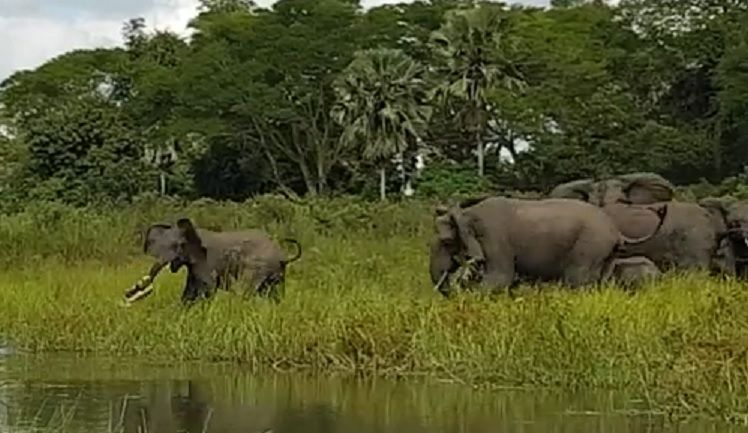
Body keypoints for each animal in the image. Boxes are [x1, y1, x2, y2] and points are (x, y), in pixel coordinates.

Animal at [125, 218, 302, 305]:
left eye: (179, 246)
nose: (129, 292)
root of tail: (283, 256)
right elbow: (189, 291)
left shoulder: (206, 261)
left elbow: (207, 289)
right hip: (276, 273)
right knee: (275, 293)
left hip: (256, 266)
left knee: (244, 290)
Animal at [429, 196, 668, 296]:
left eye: (447, 242)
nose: (456, 284)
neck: (468, 213)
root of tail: (617, 231)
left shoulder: (494, 238)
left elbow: (500, 278)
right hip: (604, 252)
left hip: (590, 246)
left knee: (577, 281)